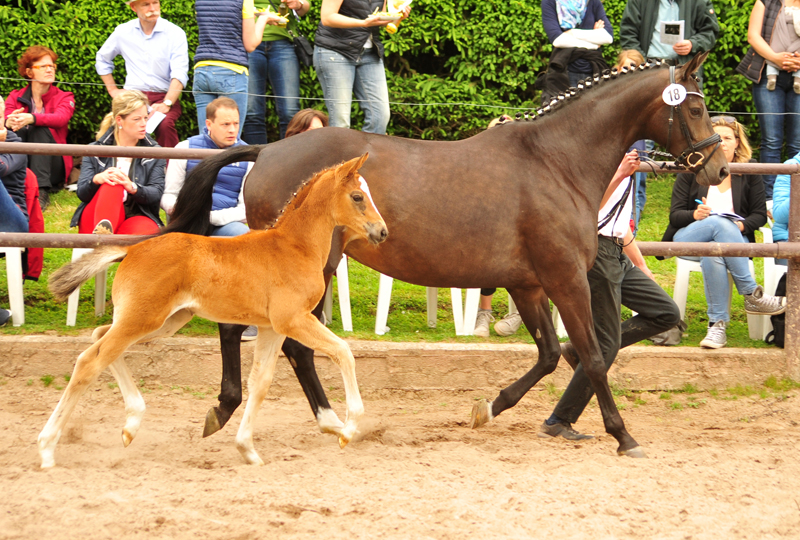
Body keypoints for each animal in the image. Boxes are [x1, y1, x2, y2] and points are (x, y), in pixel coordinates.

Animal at [41, 153, 388, 468]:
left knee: (101, 338)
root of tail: (133, 249)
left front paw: (247, 449)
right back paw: (47, 448)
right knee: (90, 361)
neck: (295, 247)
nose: (382, 231)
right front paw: (348, 430)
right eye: (357, 196)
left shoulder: (272, 327)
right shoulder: (294, 320)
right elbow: (343, 352)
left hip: (162, 321)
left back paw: (131, 425)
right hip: (143, 319)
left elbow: (260, 382)